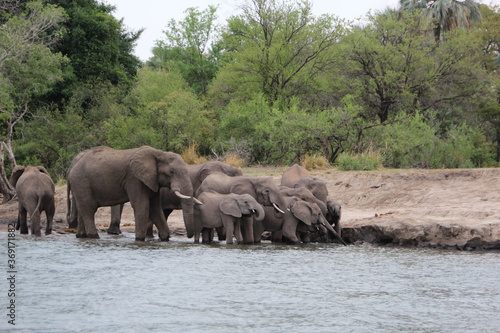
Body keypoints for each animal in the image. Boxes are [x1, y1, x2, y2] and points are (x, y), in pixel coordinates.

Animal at [67, 145, 196, 239]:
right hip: (81, 181)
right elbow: (142, 206)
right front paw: (139, 239)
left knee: (83, 209)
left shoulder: (152, 181)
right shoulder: (134, 179)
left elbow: (155, 209)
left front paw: (165, 239)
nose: (189, 237)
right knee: (88, 209)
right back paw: (94, 237)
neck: (159, 153)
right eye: (171, 172)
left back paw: (81, 236)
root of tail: (72, 166)